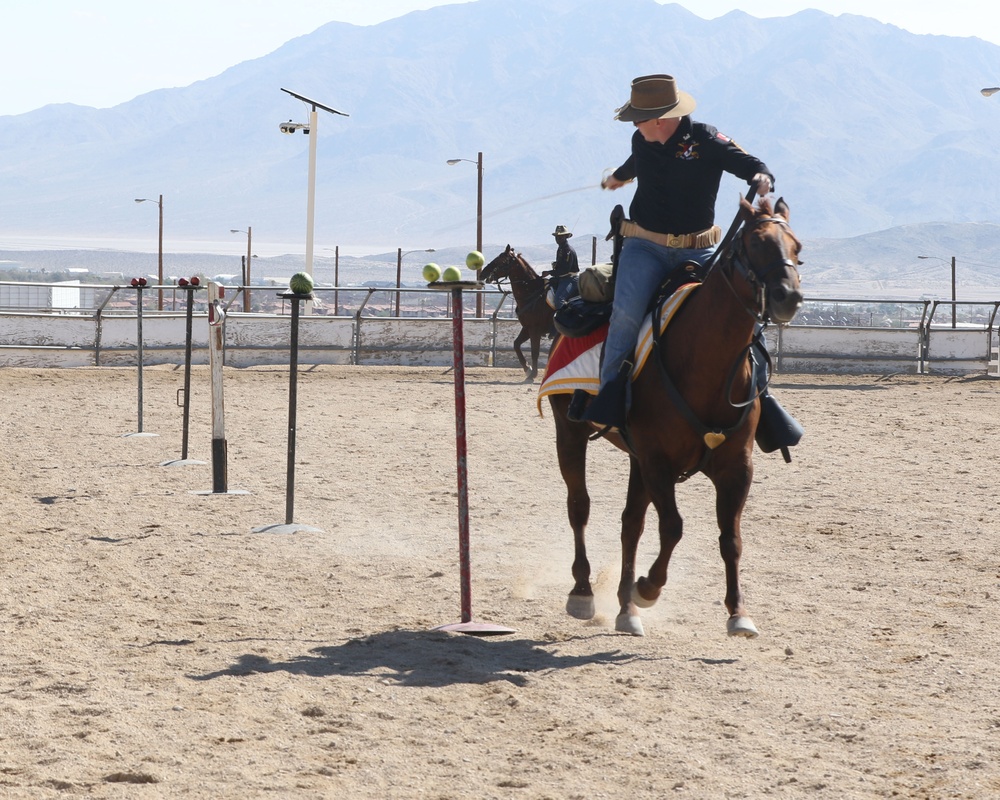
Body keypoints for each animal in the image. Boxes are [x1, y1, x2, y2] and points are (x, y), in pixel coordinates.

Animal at [478, 244, 552, 382]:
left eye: (501, 260)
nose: (483, 273)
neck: (532, 293)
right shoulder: (527, 328)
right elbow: (516, 345)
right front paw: (528, 370)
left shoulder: (535, 329)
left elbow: (535, 351)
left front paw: (533, 374)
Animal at [548, 195, 804, 636]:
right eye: (755, 243)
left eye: (797, 247)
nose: (788, 295)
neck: (704, 363)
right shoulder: (658, 461)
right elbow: (673, 526)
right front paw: (647, 588)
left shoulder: (736, 467)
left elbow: (730, 537)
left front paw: (738, 612)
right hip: (570, 430)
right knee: (579, 505)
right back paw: (583, 591)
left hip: (634, 458)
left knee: (630, 523)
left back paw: (625, 609)